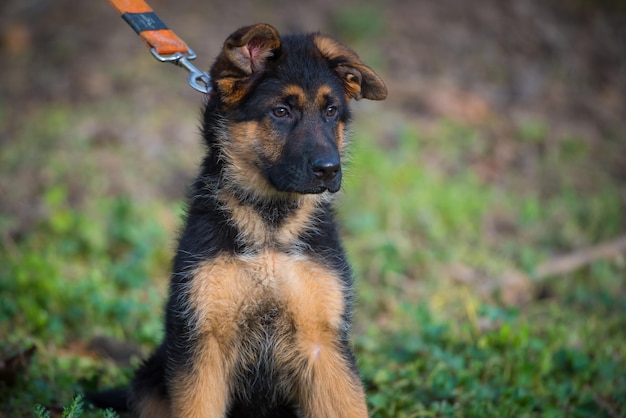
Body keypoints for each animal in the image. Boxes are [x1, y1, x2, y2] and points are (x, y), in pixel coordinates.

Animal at [86, 23, 382, 418]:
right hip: (150, 380)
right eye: (281, 111)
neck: (270, 227)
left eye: (331, 110)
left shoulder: (324, 344)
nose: (329, 170)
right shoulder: (203, 343)